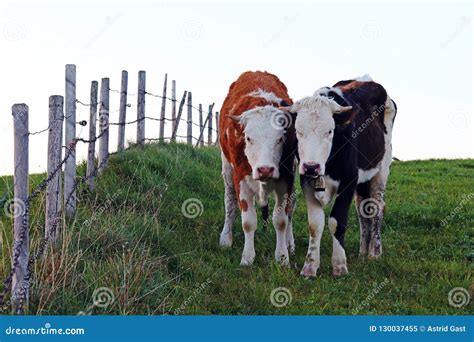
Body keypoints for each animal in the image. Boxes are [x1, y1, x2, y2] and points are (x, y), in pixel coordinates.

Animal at [218, 71, 296, 266]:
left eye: (280, 139)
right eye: (248, 138)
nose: (265, 169)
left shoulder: (286, 179)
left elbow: (281, 220)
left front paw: (282, 257)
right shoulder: (241, 179)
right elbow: (248, 221)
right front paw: (247, 257)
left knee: (292, 209)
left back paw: (290, 243)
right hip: (227, 170)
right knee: (229, 202)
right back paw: (226, 238)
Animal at [282, 75, 396, 278]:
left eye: (329, 131)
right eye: (298, 131)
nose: (311, 166)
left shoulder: (349, 180)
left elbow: (337, 221)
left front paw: (339, 266)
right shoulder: (307, 181)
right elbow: (315, 224)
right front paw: (309, 267)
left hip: (381, 169)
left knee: (377, 208)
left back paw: (374, 252)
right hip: (363, 180)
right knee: (363, 209)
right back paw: (362, 252)